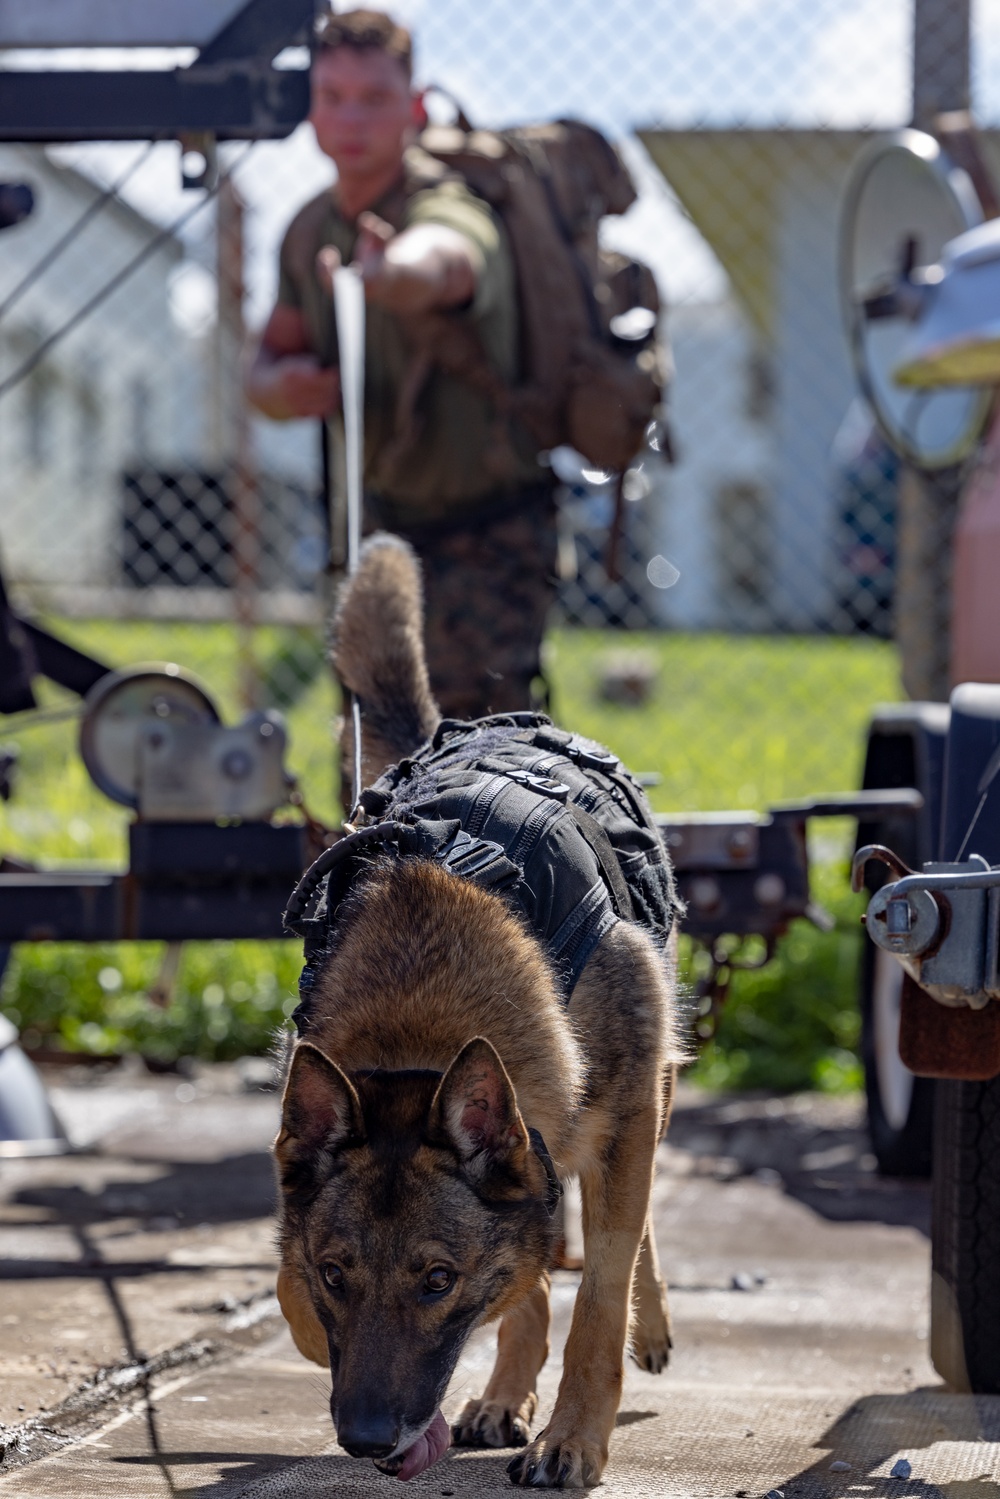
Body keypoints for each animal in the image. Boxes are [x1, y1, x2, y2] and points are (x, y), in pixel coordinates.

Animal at [275, 536, 680, 1487]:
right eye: (337, 1274)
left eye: (436, 1279)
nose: (367, 1440)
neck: (417, 1028)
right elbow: (298, 1306)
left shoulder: (621, 1121)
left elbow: (599, 1296)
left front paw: (572, 1439)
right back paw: (501, 1393)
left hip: (653, 1091)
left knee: (627, 1238)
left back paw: (645, 1324)